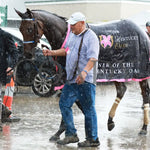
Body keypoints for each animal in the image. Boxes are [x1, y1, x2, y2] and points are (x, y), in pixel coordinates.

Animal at [15, 8, 150, 138]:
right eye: (20, 29)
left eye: (29, 29)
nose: (27, 54)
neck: (65, 36)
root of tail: (142, 33)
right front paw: (62, 131)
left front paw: (65, 129)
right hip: (117, 73)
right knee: (122, 90)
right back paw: (110, 121)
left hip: (139, 72)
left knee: (145, 94)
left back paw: (144, 128)